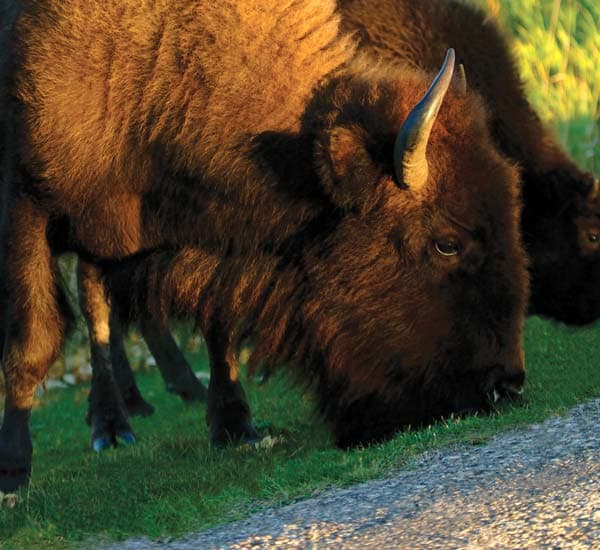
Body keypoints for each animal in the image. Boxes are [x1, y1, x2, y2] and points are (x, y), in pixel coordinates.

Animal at [0, 0, 528, 492]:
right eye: (446, 244)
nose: (505, 386)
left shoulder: (206, 235)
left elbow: (217, 322)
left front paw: (235, 428)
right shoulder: (26, 204)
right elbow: (33, 342)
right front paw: (13, 476)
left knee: (99, 302)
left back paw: (123, 416)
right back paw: (110, 428)